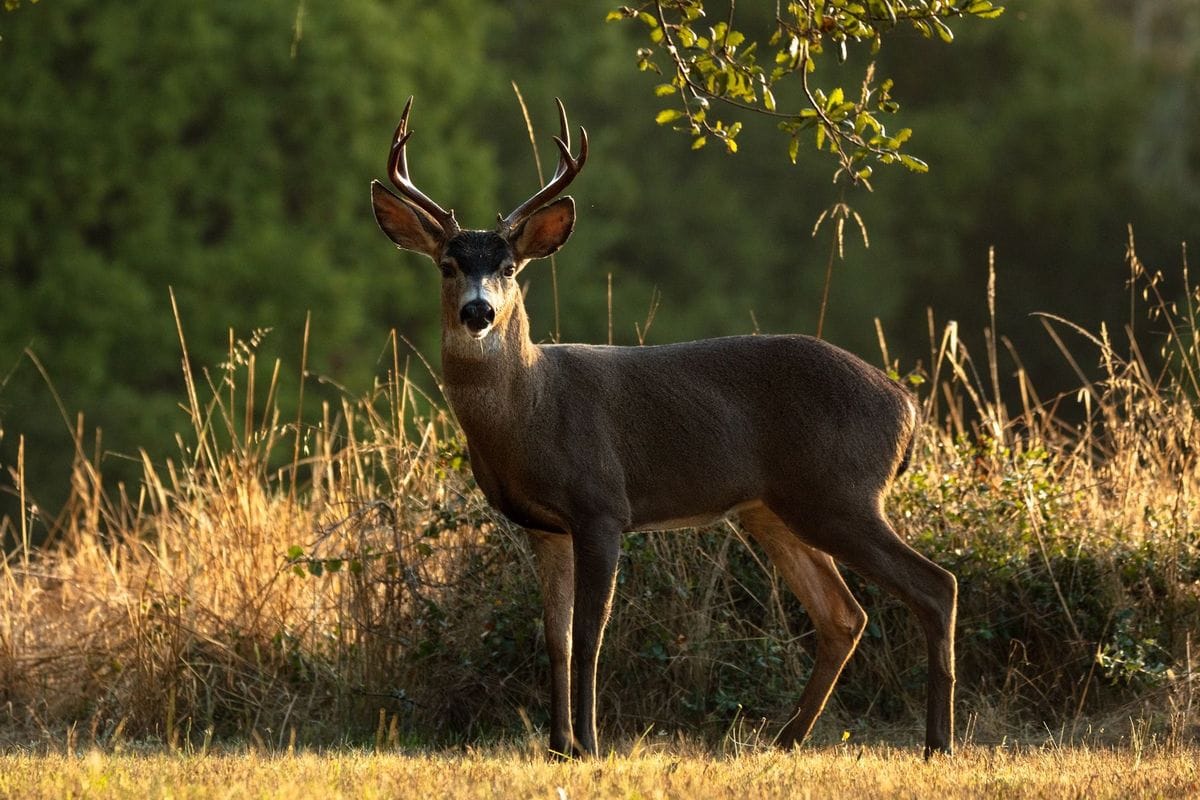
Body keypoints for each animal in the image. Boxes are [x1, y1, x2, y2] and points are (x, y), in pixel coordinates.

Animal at [369, 97, 957, 760]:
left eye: (509, 266)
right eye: (448, 264)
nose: (479, 311)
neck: (532, 411)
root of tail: (907, 405)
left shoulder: (603, 505)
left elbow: (591, 633)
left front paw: (589, 744)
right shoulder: (544, 527)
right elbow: (556, 637)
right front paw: (557, 744)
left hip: (841, 491)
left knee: (936, 586)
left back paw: (936, 743)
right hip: (775, 509)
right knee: (844, 614)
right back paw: (784, 739)